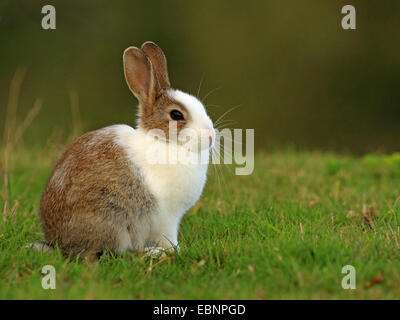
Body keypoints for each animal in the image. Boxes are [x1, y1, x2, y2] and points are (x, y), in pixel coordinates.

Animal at [39, 40, 216, 260]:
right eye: (176, 115)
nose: (211, 136)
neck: (164, 141)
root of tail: (58, 243)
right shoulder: (167, 218)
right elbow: (169, 238)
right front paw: (175, 250)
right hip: (113, 217)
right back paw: (152, 252)